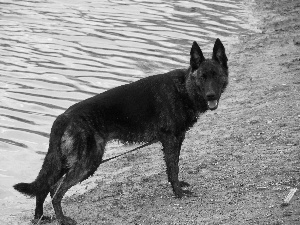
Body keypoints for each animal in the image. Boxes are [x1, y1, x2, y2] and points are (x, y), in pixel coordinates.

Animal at [13, 37, 227, 224]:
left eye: (216, 76)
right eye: (203, 77)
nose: (211, 95)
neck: (184, 88)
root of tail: (63, 116)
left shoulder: (177, 139)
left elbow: (172, 167)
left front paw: (177, 187)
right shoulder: (170, 139)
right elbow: (173, 168)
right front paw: (178, 193)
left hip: (68, 160)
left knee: (47, 186)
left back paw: (40, 217)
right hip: (87, 162)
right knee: (56, 191)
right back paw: (62, 219)